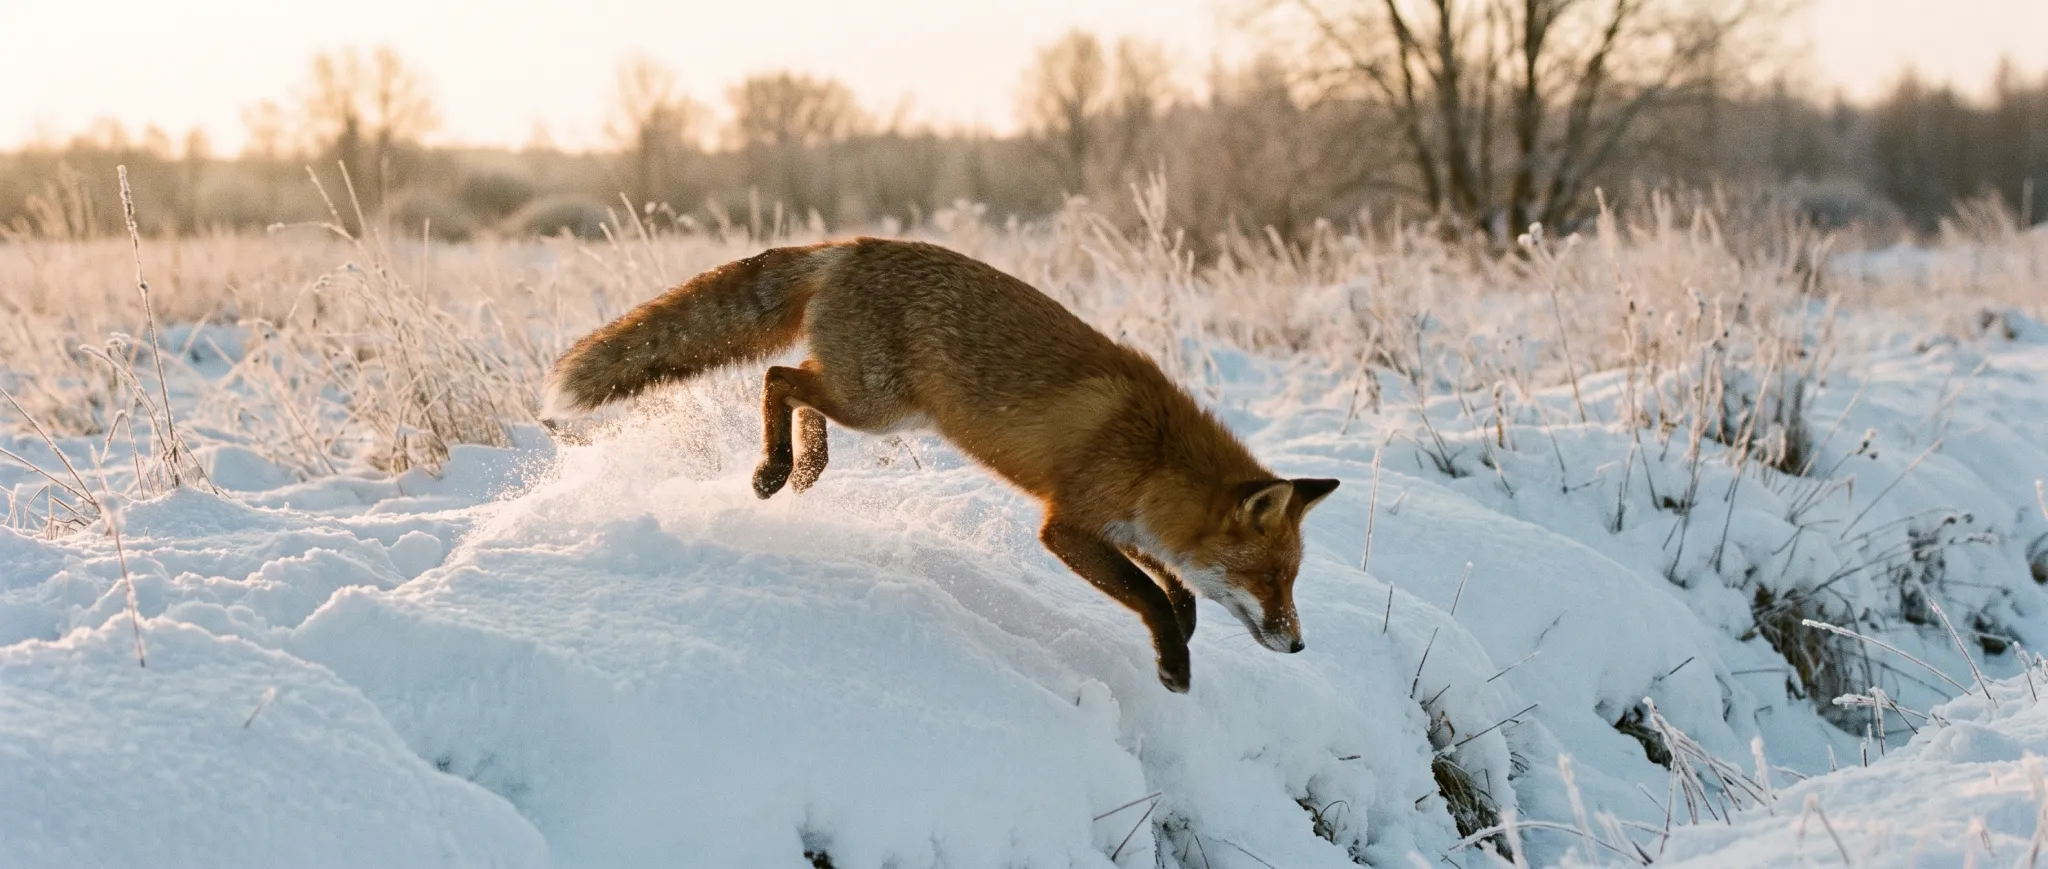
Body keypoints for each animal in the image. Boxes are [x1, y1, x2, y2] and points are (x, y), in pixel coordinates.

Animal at [541, 238, 1338, 692]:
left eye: (1291, 580)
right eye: (1271, 580)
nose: (1300, 644)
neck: (1154, 454)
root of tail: (852, 244)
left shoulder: (1121, 523)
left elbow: (1176, 588)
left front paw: (1182, 636)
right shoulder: (1066, 527)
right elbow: (1146, 593)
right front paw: (1174, 663)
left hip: (874, 402)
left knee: (793, 380)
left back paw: (805, 468)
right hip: (875, 402)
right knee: (777, 376)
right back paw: (775, 469)